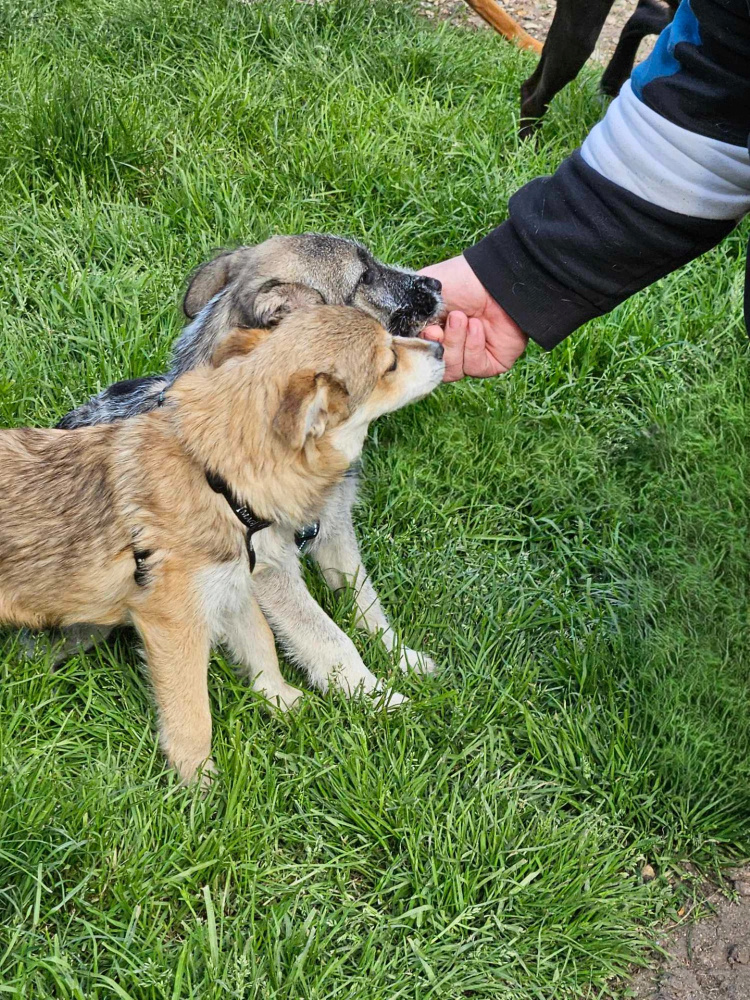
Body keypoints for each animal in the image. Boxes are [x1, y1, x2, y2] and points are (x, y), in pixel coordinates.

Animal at [0, 304, 446, 780]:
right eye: (389, 364)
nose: (441, 348)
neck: (218, 482)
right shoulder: (176, 619)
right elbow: (196, 709)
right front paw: (198, 782)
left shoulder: (234, 585)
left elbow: (264, 642)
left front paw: (282, 700)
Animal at [47, 237, 444, 700]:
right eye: (364, 277)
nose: (437, 284)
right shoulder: (270, 569)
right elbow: (327, 636)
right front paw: (375, 697)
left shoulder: (335, 531)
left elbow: (368, 605)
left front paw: (403, 659)